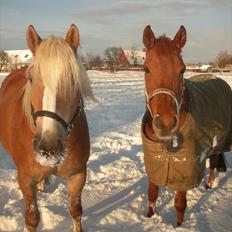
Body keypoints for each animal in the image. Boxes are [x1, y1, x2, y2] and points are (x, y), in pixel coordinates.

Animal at [0, 24, 94, 231]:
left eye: (73, 80)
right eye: (31, 79)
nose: (48, 148)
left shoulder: (78, 176)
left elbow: (75, 211)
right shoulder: (26, 180)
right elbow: (32, 218)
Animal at [141, 24, 232, 225]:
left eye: (182, 70)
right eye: (146, 68)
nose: (166, 124)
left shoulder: (185, 169)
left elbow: (180, 204)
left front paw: (179, 225)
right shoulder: (154, 163)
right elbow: (152, 194)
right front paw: (149, 216)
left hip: (218, 142)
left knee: (214, 162)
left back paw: (209, 184)